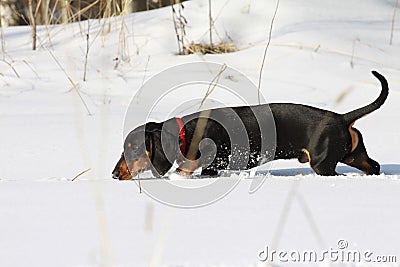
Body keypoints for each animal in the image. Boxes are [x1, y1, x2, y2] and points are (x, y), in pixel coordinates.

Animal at [111, 71, 388, 180]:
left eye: (133, 149)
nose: (114, 174)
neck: (185, 133)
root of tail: (342, 117)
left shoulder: (212, 163)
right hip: (352, 155)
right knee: (373, 166)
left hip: (323, 165)